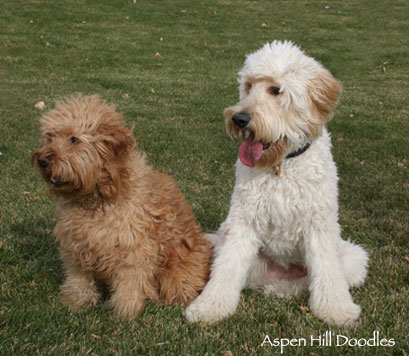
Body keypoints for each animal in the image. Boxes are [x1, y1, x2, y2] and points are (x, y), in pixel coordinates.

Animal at [31, 94, 210, 318]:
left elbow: (130, 283)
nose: (42, 160)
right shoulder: (76, 245)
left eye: (74, 139)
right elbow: (78, 278)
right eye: (49, 137)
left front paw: (124, 312)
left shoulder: (133, 248)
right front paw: (76, 302)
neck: (97, 198)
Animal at [186, 41, 368, 326]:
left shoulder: (319, 225)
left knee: (309, 281)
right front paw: (209, 307)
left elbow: (326, 271)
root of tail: (280, 272)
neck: (282, 165)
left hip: (353, 257)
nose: (239, 119)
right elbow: (226, 269)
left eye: (276, 90)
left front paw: (336, 310)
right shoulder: (242, 222)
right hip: (229, 241)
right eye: (249, 86)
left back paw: (283, 288)